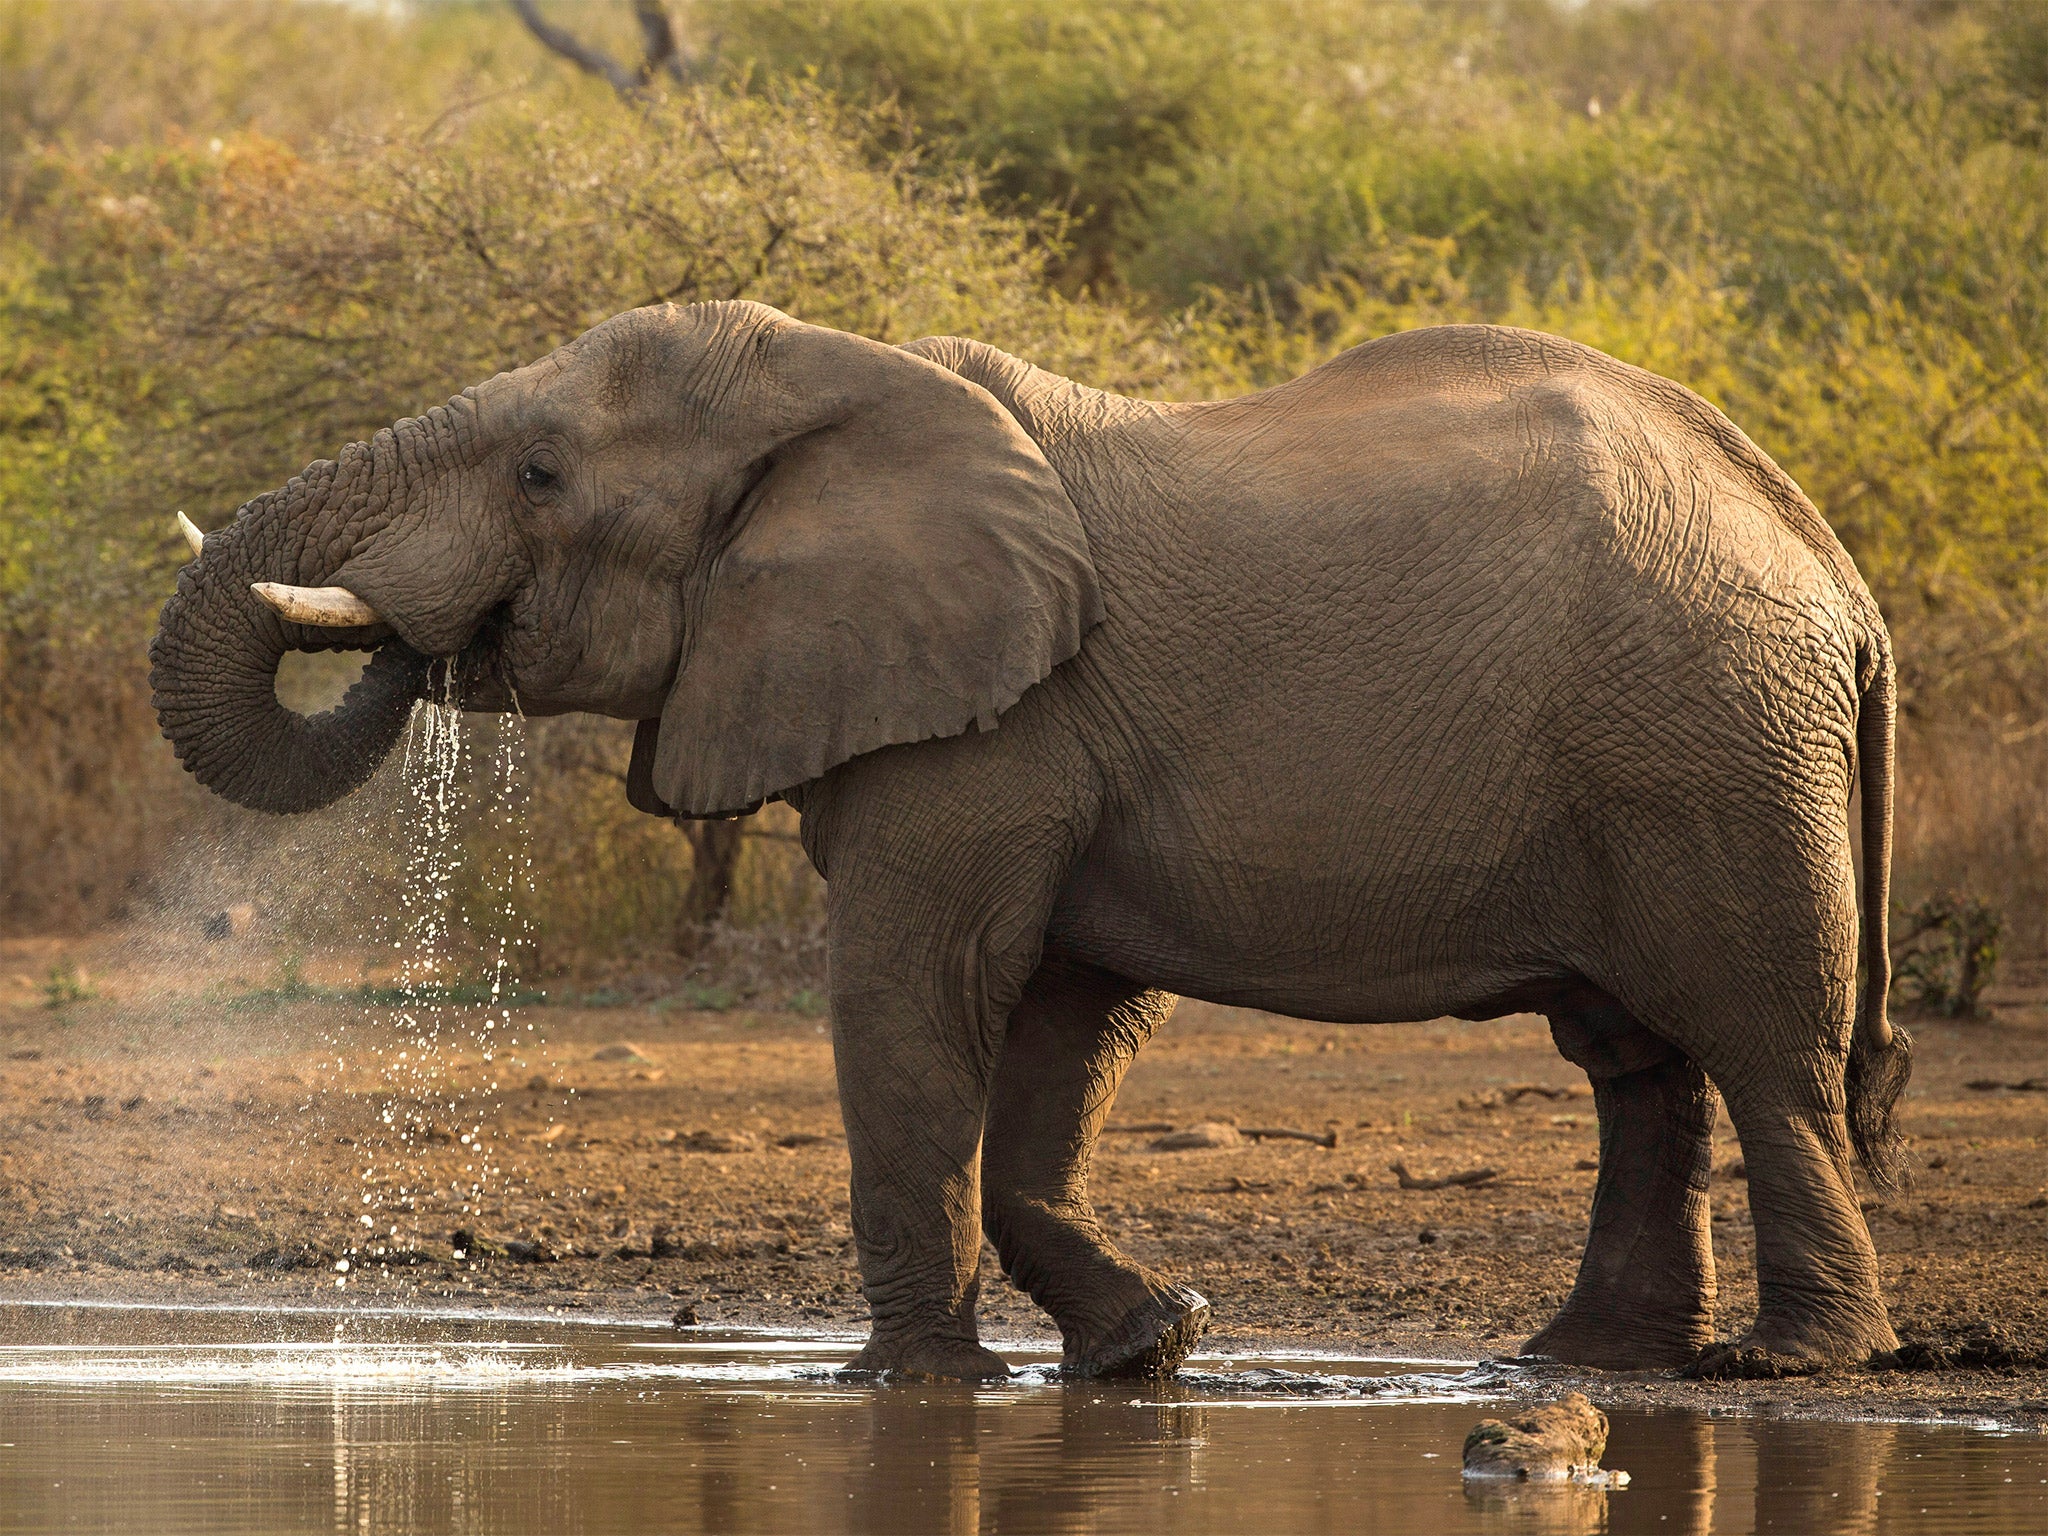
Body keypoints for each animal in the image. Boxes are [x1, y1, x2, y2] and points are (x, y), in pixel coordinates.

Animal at [151, 301, 1908, 1384]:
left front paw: (902, 1386)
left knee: (1763, 1043)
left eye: (538, 472)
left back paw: (1788, 1363)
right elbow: (1064, 1021)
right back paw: (1579, 1364)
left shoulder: (990, 728)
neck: (840, 381)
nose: (425, 642)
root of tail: (1832, 559)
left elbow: (916, 996)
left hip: (1710, 744)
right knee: (1638, 1061)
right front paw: (1150, 1349)